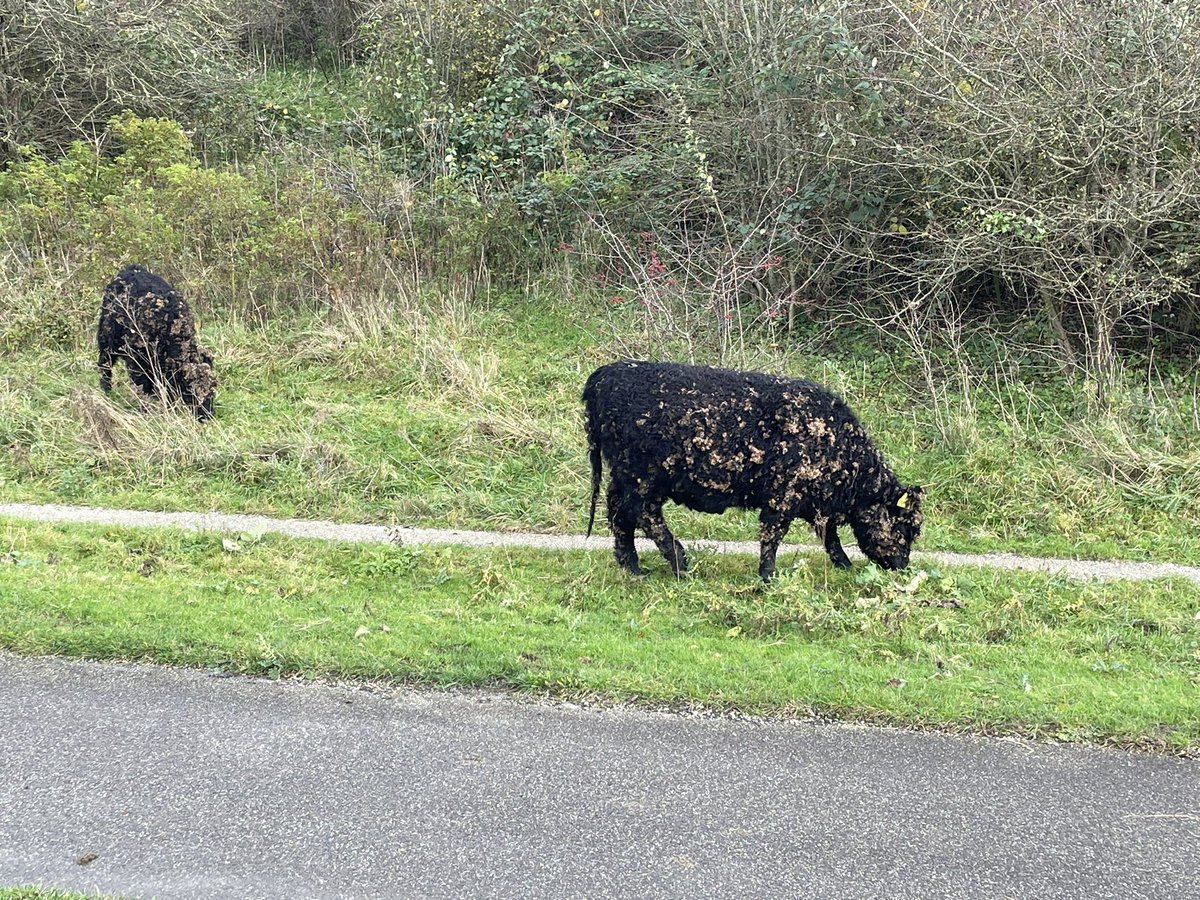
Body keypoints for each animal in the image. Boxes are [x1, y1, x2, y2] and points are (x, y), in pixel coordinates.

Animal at [97, 264, 216, 420]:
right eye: (190, 390)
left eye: (213, 390)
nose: (207, 417)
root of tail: (131, 268)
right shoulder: (137, 362)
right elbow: (143, 386)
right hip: (107, 338)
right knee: (105, 363)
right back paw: (107, 390)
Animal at [583, 360, 924, 580]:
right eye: (906, 527)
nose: (902, 566)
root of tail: (607, 373)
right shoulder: (783, 496)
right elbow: (773, 535)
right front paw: (768, 577)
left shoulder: (815, 505)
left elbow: (830, 537)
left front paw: (845, 567)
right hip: (644, 476)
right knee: (642, 513)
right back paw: (681, 565)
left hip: (624, 475)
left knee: (619, 513)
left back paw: (634, 568)